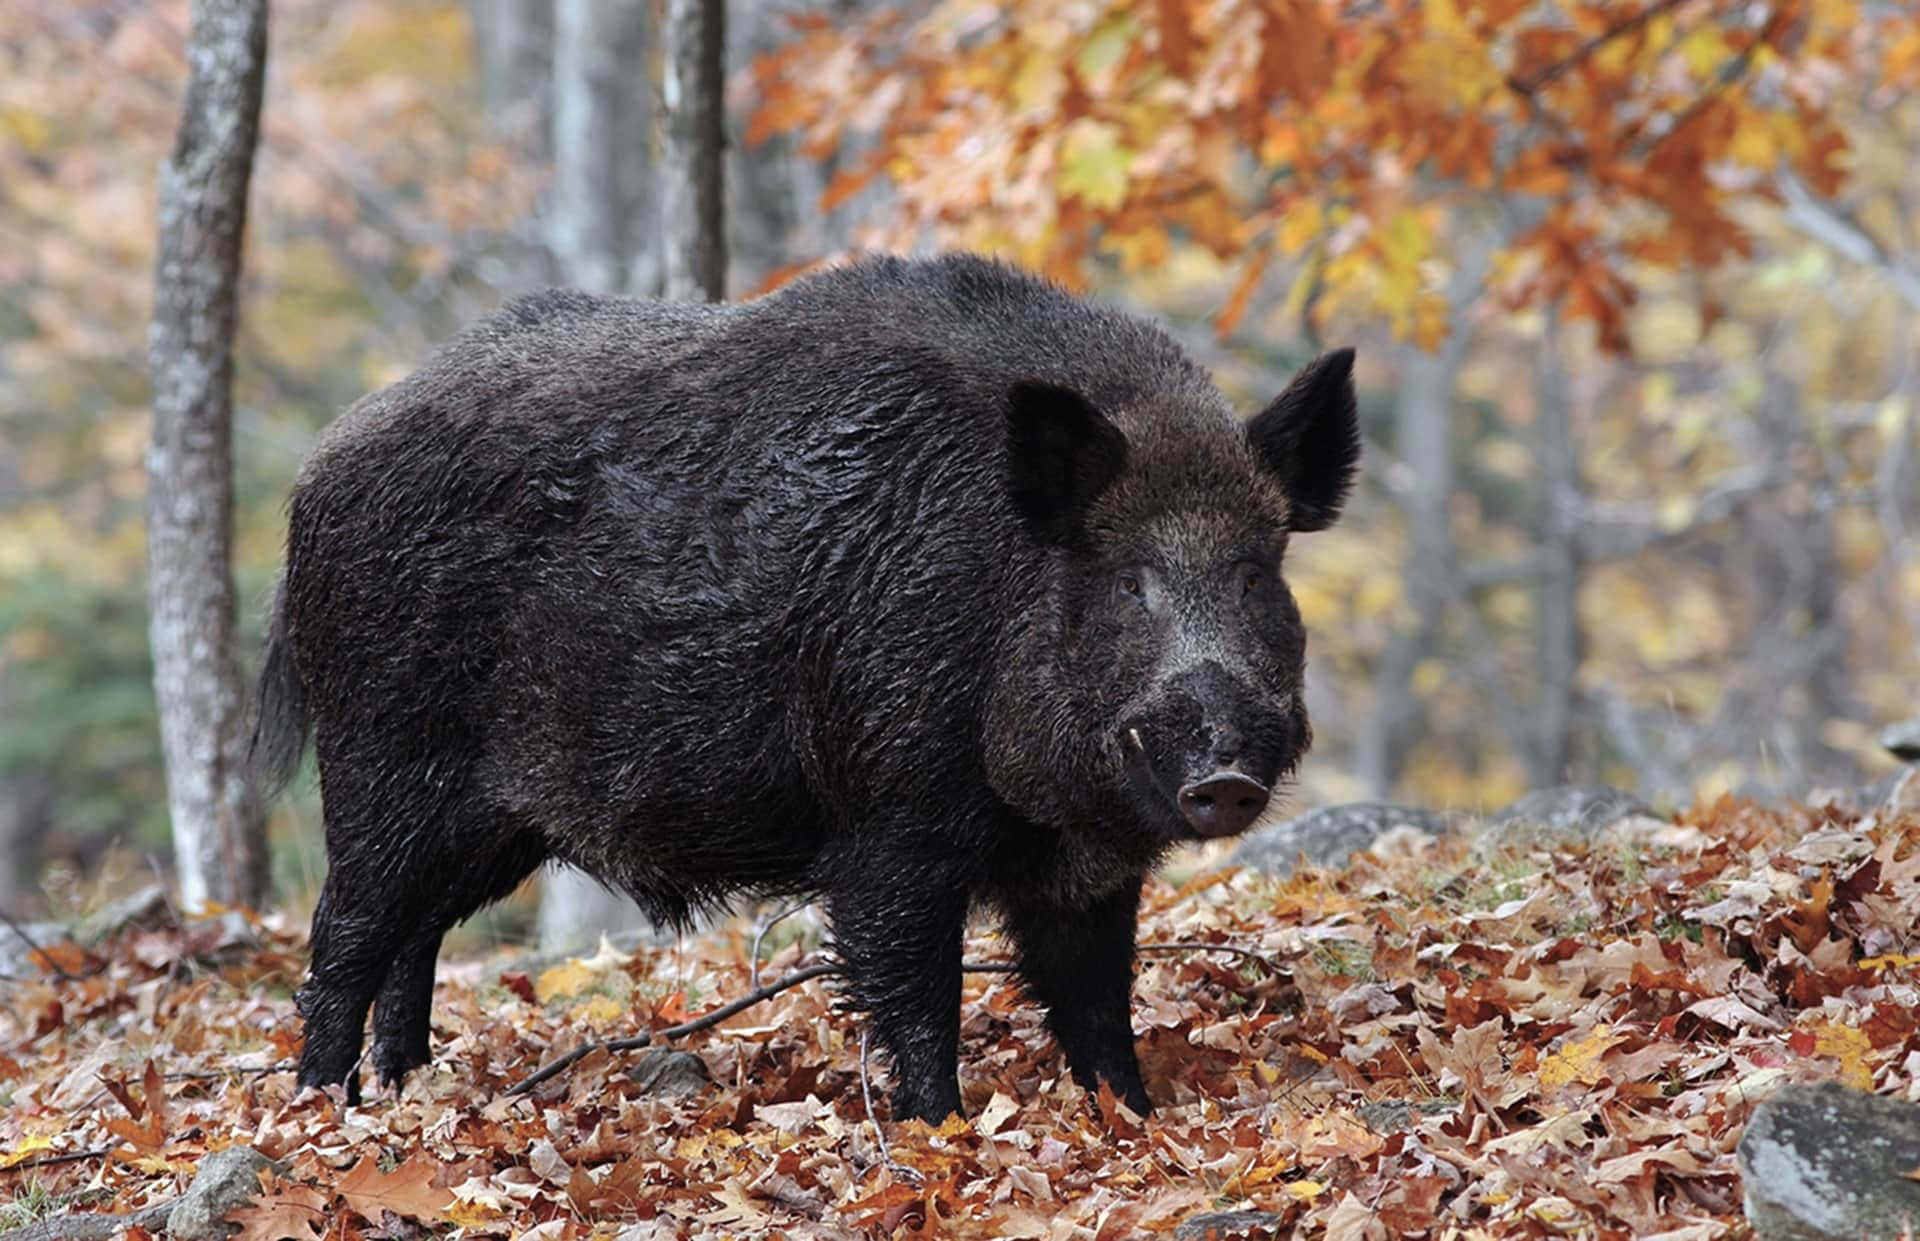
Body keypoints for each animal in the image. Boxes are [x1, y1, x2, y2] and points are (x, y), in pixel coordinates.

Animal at [250, 253, 1359, 1122]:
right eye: (1126, 579)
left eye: (1256, 573)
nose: (1224, 773)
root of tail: (316, 469)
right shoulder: (889, 824)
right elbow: (916, 992)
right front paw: (938, 1131)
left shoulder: (1085, 869)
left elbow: (1096, 999)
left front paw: (1131, 1116)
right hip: (381, 755)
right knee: (346, 931)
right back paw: (323, 1109)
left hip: (489, 821)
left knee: (415, 934)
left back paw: (404, 1089)